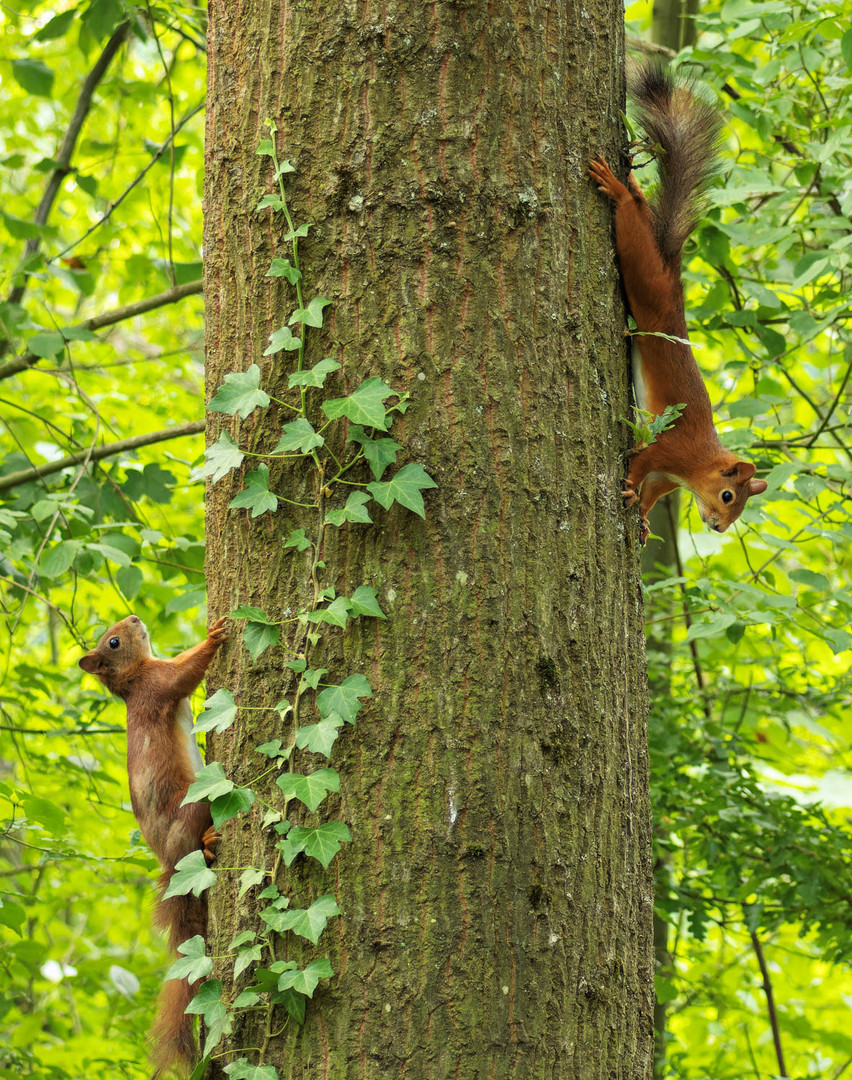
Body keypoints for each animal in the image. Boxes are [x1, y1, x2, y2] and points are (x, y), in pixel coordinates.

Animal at [77, 613, 225, 1075]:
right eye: (113, 641)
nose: (134, 617)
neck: (132, 679)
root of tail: (170, 865)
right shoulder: (158, 684)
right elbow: (184, 675)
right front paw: (212, 638)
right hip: (193, 804)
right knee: (197, 837)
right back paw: (208, 842)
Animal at [591, 63, 764, 544]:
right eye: (728, 495)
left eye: (740, 509)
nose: (719, 528)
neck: (699, 464)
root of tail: (671, 273)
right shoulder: (668, 448)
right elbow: (640, 463)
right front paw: (627, 488)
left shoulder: (668, 478)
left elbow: (652, 494)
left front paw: (644, 516)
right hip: (645, 275)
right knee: (631, 225)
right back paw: (618, 188)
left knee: (640, 206)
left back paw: (631, 184)